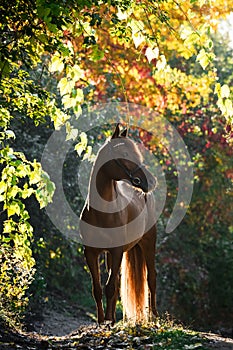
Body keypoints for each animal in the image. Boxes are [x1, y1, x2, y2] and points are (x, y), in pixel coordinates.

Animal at [79, 123, 157, 326]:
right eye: (125, 154)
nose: (152, 181)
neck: (103, 212)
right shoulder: (92, 252)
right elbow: (98, 288)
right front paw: (102, 321)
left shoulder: (116, 251)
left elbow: (110, 287)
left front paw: (107, 320)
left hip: (148, 244)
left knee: (151, 279)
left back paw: (154, 318)